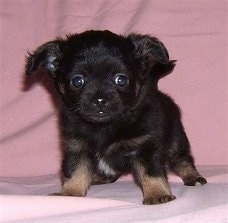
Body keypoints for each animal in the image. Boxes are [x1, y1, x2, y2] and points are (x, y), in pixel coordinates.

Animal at [25, 30, 207, 205]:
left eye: (121, 80)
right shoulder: (76, 147)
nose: (100, 99)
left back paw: (193, 177)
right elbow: (75, 170)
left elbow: (151, 172)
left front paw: (158, 193)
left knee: (183, 159)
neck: (104, 127)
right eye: (77, 81)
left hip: (176, 140)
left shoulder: (147, 146)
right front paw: (70, 193)